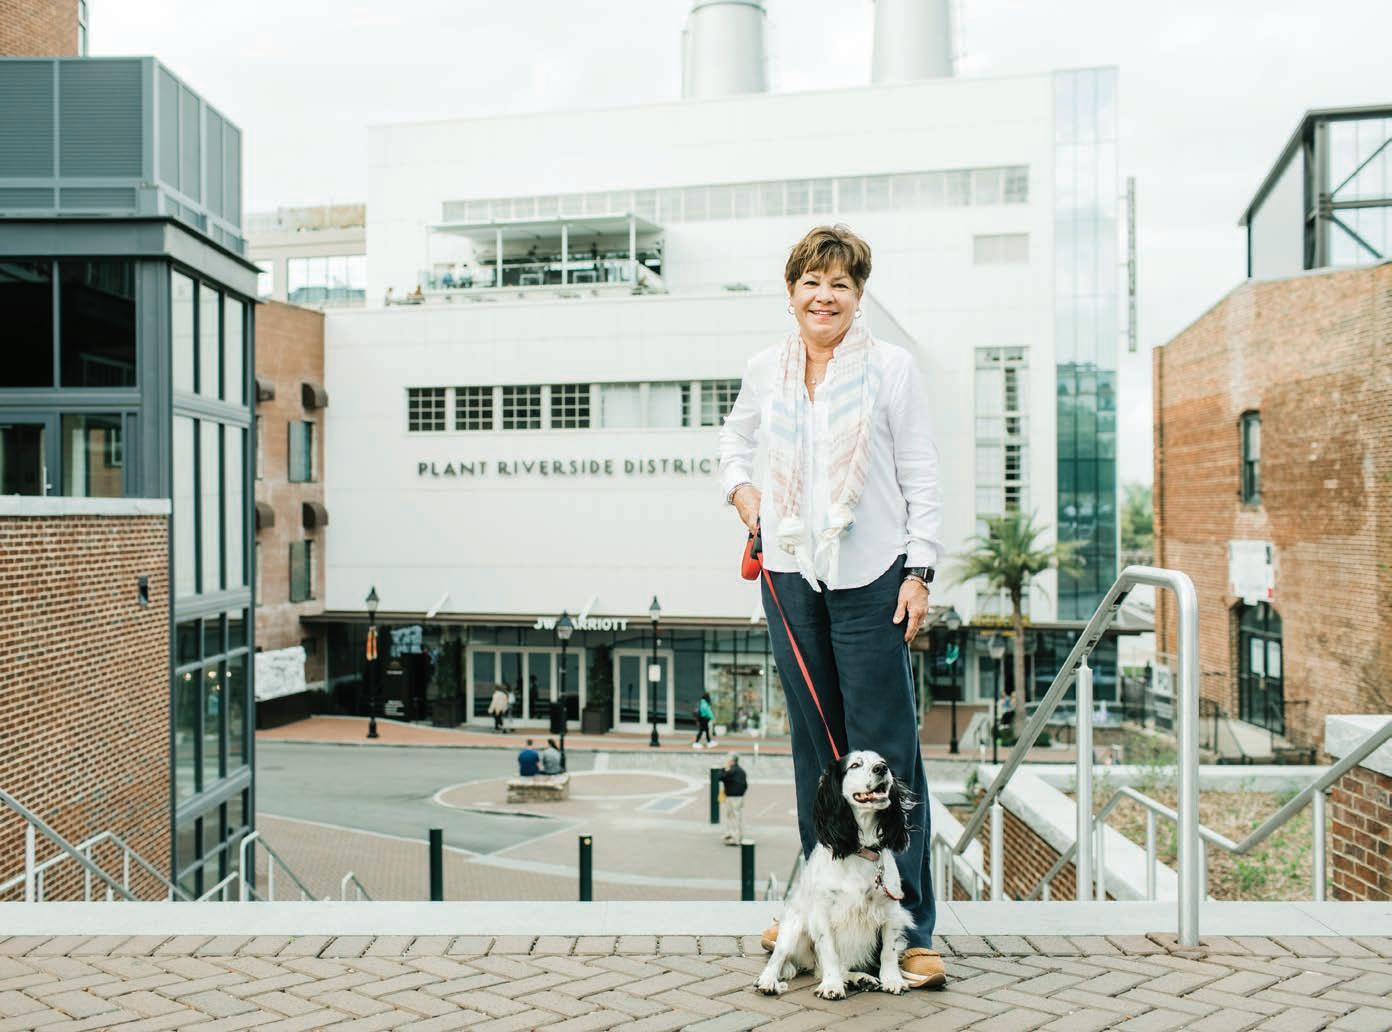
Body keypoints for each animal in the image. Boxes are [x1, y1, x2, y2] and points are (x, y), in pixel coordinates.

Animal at [755, 749, 915, 999]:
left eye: (883, 762)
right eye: (855, 765)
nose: (881, 769)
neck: (860, 850)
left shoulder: (890, 910)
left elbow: (888, 952)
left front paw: (893, 980)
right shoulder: (823, 913)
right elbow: (829, 952)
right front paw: (832, 986)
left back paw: (860, 978)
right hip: (793, 927)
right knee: (779, 959)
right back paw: (768, 981)